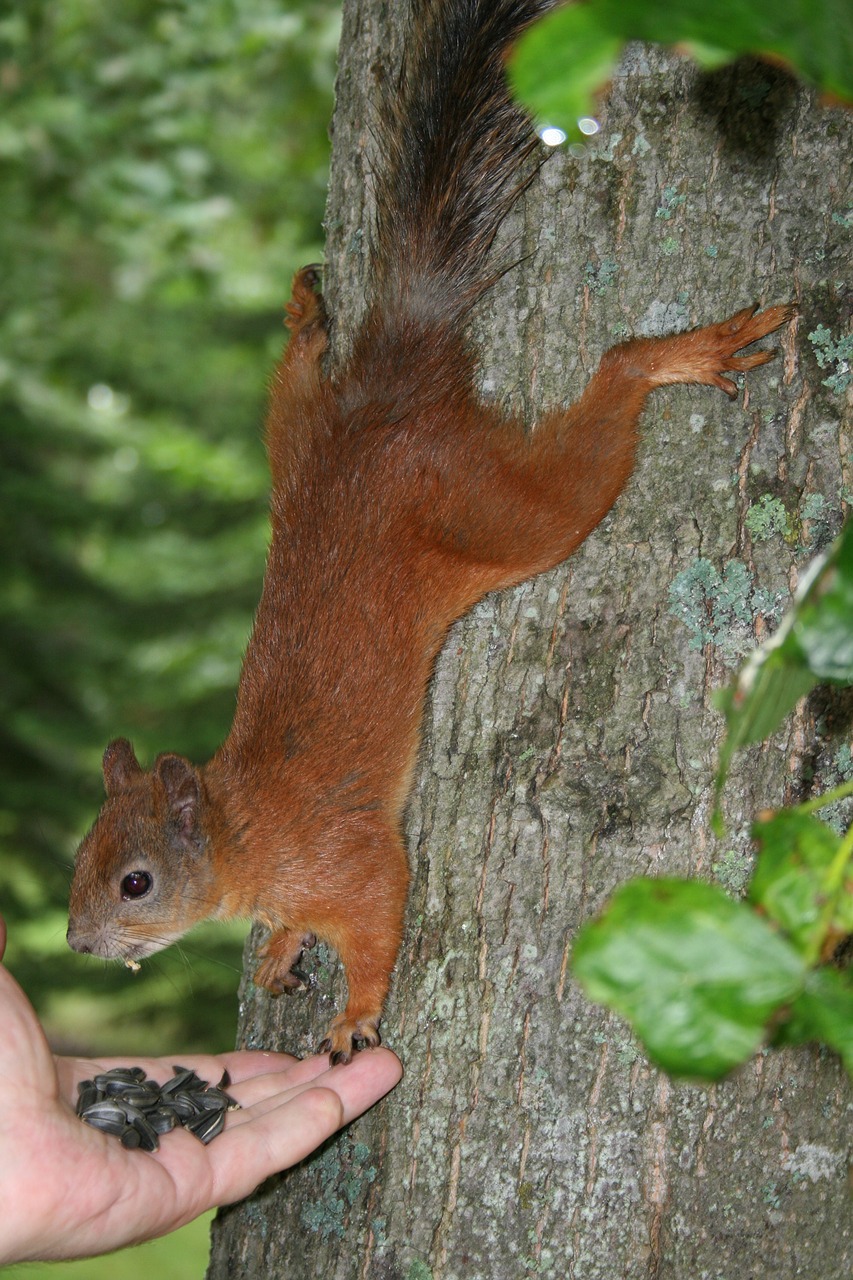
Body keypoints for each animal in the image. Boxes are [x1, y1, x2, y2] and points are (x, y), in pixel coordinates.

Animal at [64, 0, 788, 1059]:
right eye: (82, 853)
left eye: (135, 881)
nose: (78, 943)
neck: (243, 832)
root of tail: (395, 389)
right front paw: (282, 950)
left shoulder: (350, 855)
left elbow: (376, 919)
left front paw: (354, 1015)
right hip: (296, 446)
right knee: (294, 390)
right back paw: (306, 320)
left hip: (494, 511)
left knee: (595, 420)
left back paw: (671, 357)